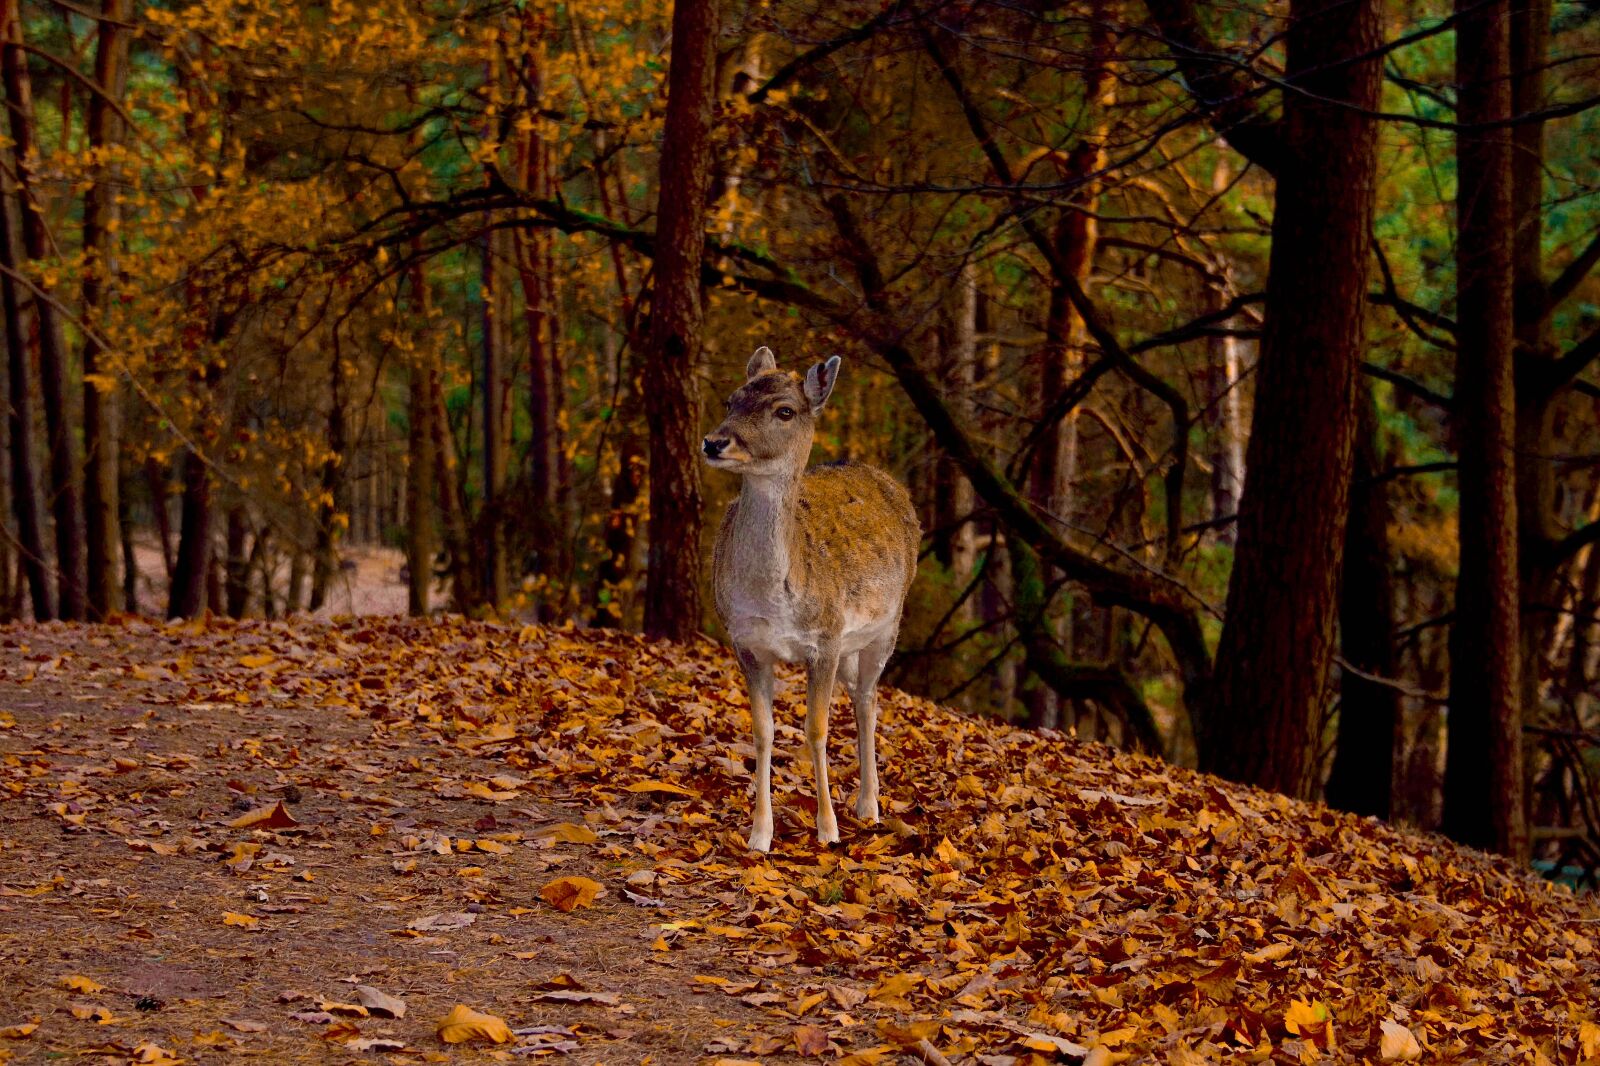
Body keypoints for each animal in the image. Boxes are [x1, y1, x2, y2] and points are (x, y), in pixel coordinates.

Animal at [703, 347, 920, 852]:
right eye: (731, 400)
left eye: (785, 410)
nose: (714, 443)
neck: (772, 598)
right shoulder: (746, 643)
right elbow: (763, 732)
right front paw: (760, 834)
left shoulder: (825, 638)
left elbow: (816, 730)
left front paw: (827, 828)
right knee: (859, 695)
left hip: (887, 625)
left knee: (868, 700)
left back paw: (868, 806)